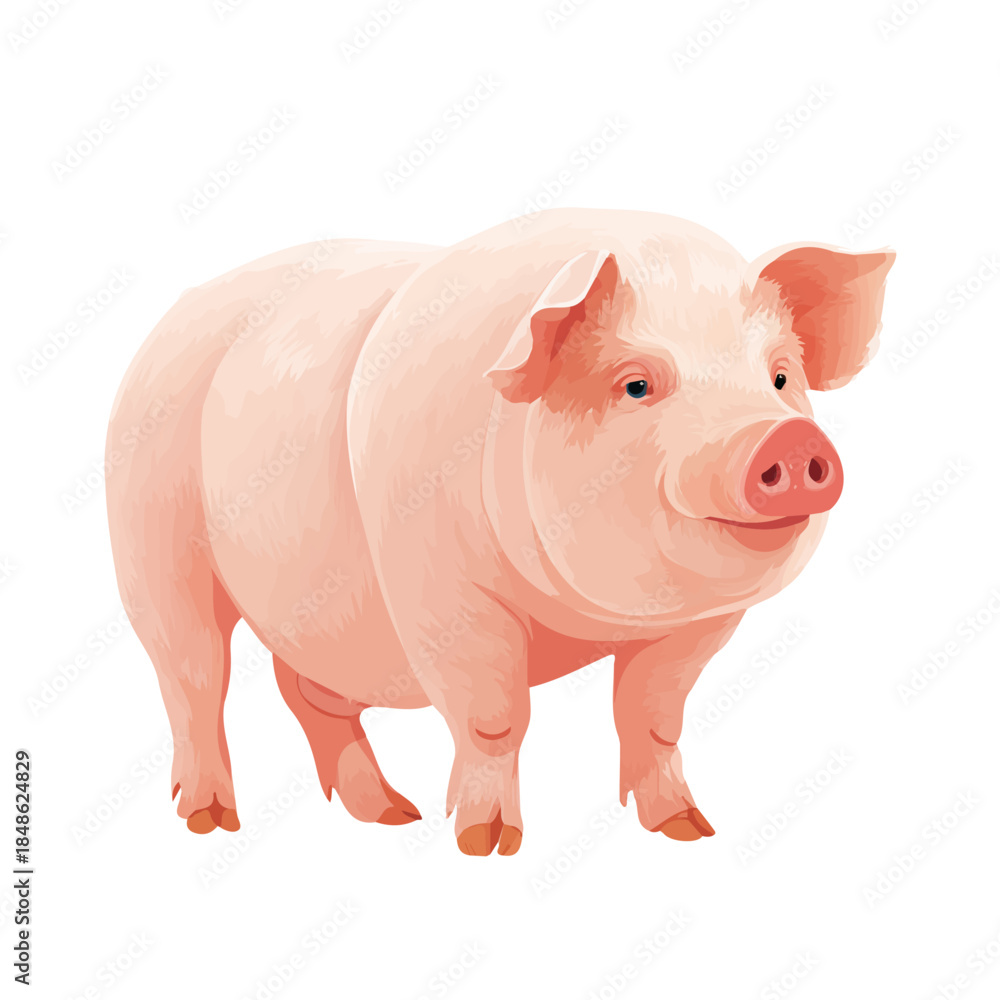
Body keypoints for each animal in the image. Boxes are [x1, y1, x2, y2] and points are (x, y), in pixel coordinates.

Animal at [106, 209, 893, 855]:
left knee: (306, 693)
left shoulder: (700, 625)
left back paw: (389, 814)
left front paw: (688, 830)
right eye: (637, 384)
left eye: (781, 378)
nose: (787, 439)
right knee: (193, 678)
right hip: (150, 539)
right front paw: (485, 844)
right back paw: (212, 821)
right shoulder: (443, 590)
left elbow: (653, 716)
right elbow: (494, 717)